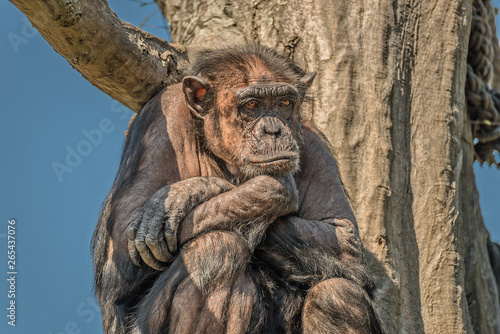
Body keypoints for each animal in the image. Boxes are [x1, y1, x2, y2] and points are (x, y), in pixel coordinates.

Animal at [93, 45, 382, 334]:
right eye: (251, 105)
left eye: (284, 103)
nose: (273, 130)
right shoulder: (161, 117)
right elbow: (121, 254)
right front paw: (196, 190)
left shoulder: (313, 143)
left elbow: (343, 235)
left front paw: (188, 192)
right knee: (216, 249)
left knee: (337, 294)